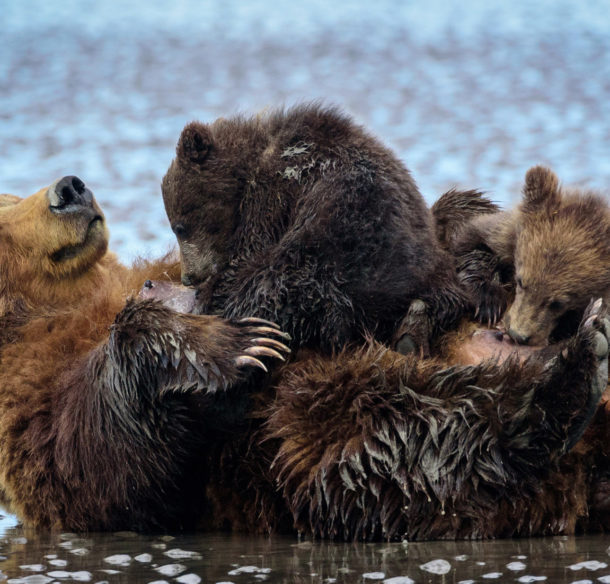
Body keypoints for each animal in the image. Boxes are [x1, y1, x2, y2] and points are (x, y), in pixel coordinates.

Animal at [160, 103, 470, 354]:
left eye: (179, 227)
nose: (189, 277)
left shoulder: (275, 191)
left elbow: (249, 251)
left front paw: (209, 294)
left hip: (324, 261)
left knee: (268, 287)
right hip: (430, 266)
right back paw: (412, 333)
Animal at [442, 164, 608, 344]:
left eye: (558, 303)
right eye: (521, 281)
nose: (517, 334)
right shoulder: (497, 235)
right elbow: (472, 248)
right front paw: (489, 303)